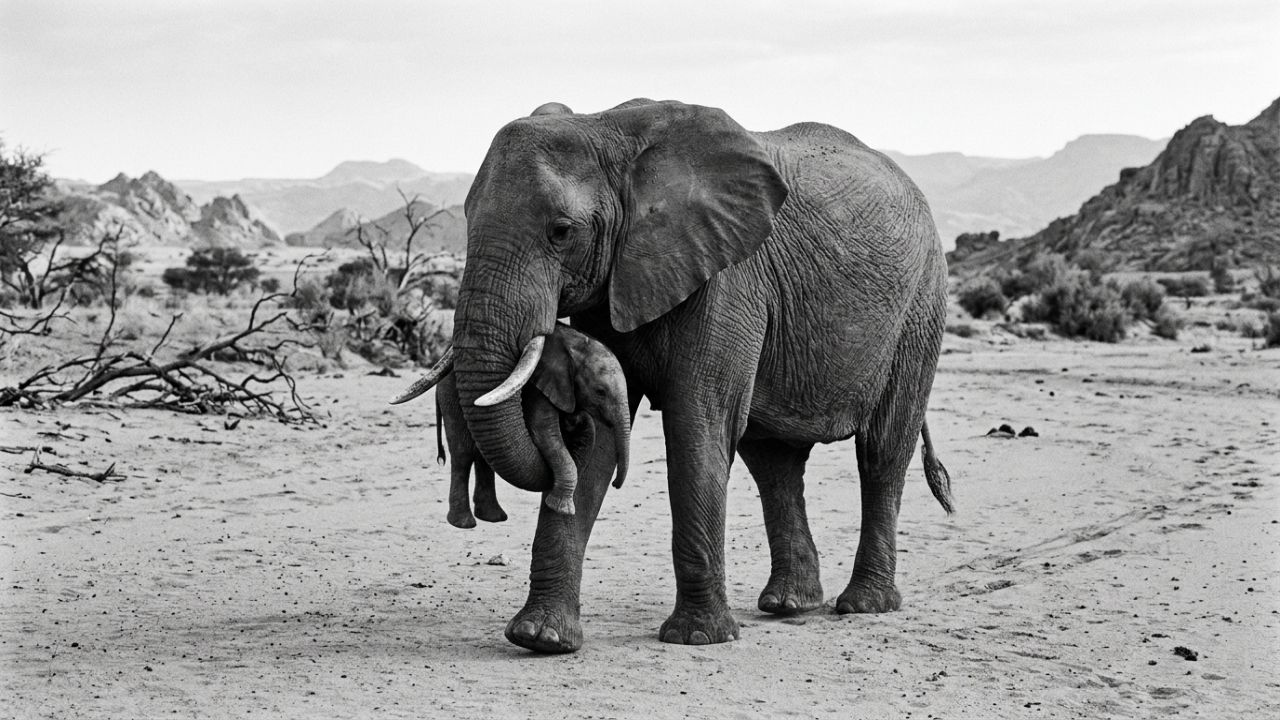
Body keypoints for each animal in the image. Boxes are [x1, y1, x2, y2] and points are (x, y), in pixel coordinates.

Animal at [397, 98, 954, 651]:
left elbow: (697, 424)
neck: (607, 128)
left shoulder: (727, 277)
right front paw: (541, 638)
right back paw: (789, 605)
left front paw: (697, 638)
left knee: (882, 450)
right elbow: (603, 440)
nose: (563, 418)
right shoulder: (619, 280)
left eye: (561, 231)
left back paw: (864, 605)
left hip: (921, 307)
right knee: (773, 462)